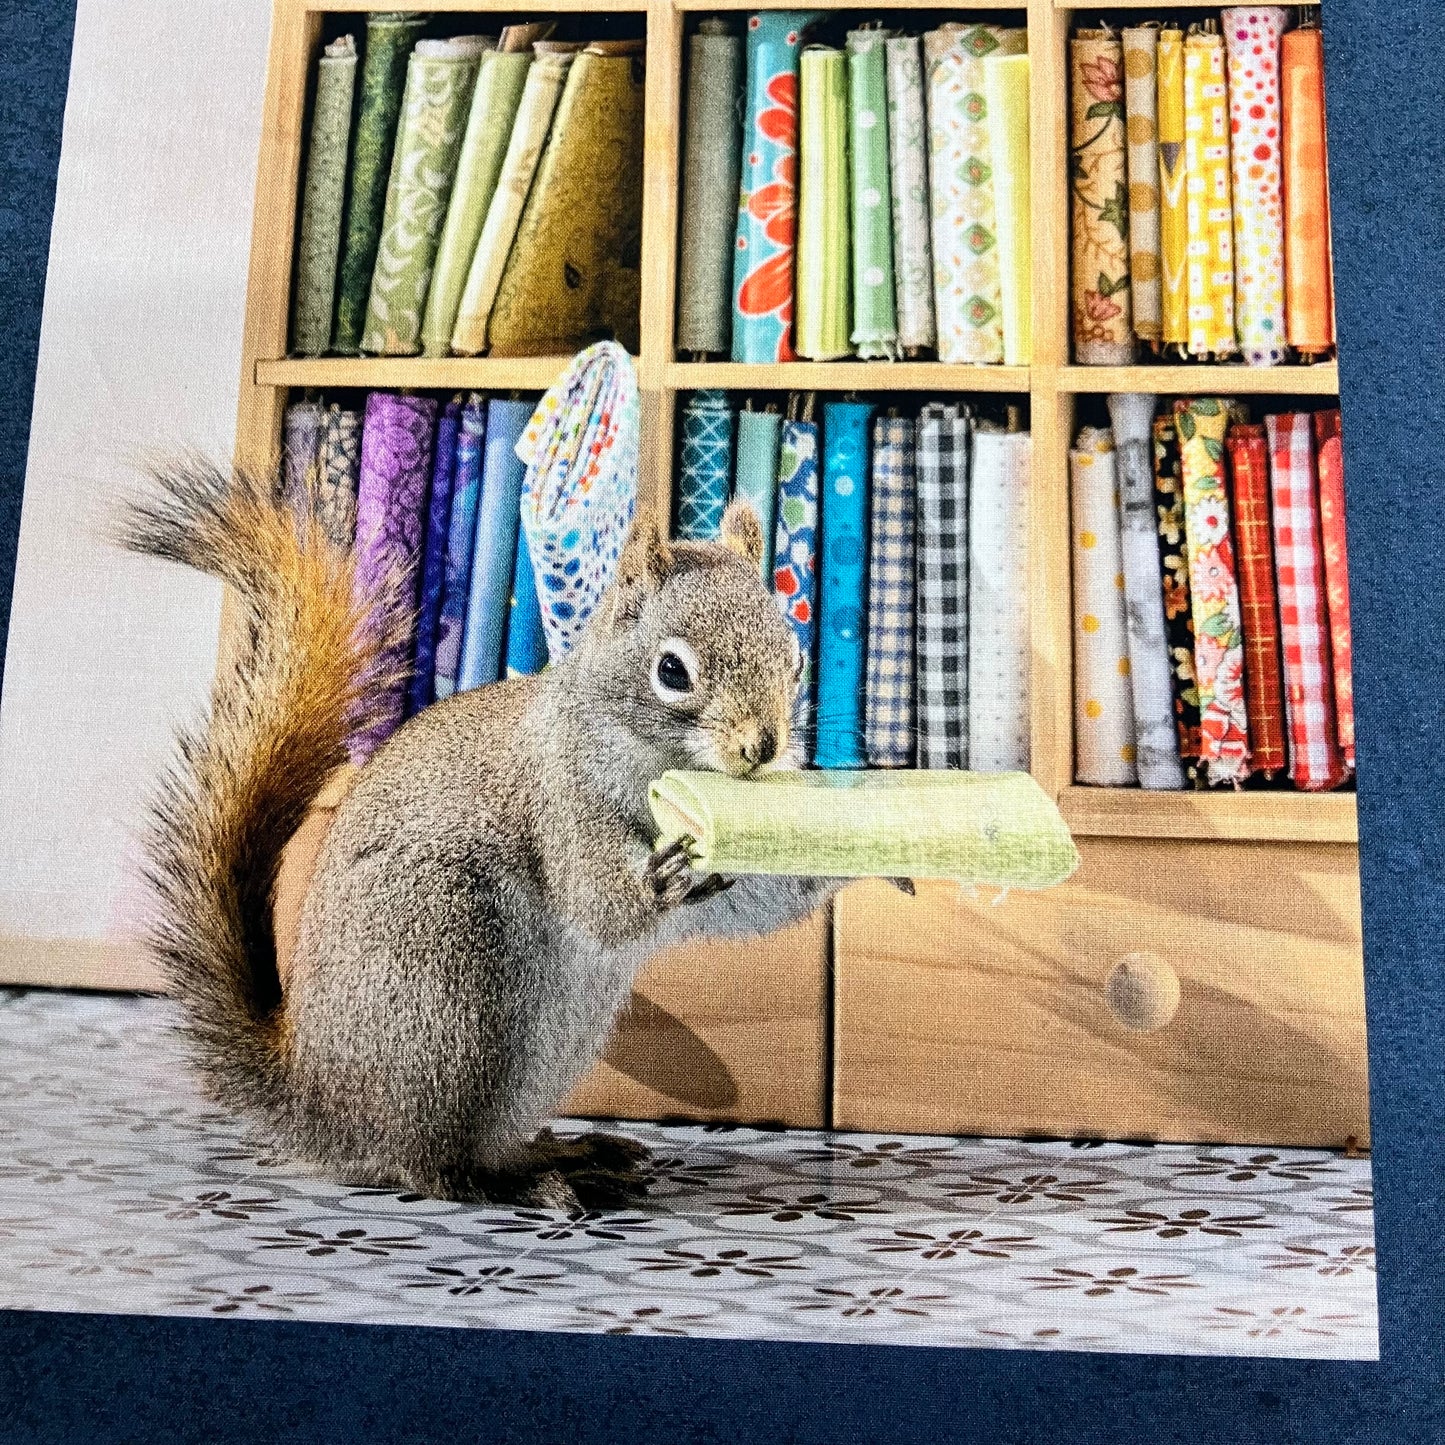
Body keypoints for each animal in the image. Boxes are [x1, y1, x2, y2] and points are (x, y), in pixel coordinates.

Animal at [119, 458, 846, 1210]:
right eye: (672, 670)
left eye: (794, 658)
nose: (763, 747)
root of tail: (322, 1104)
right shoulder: (561, 802)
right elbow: (598, 902)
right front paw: (661, 877)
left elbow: (753, 903)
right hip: (447, 990)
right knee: (433, 1165)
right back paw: (531, 1181)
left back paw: (566, 1151)